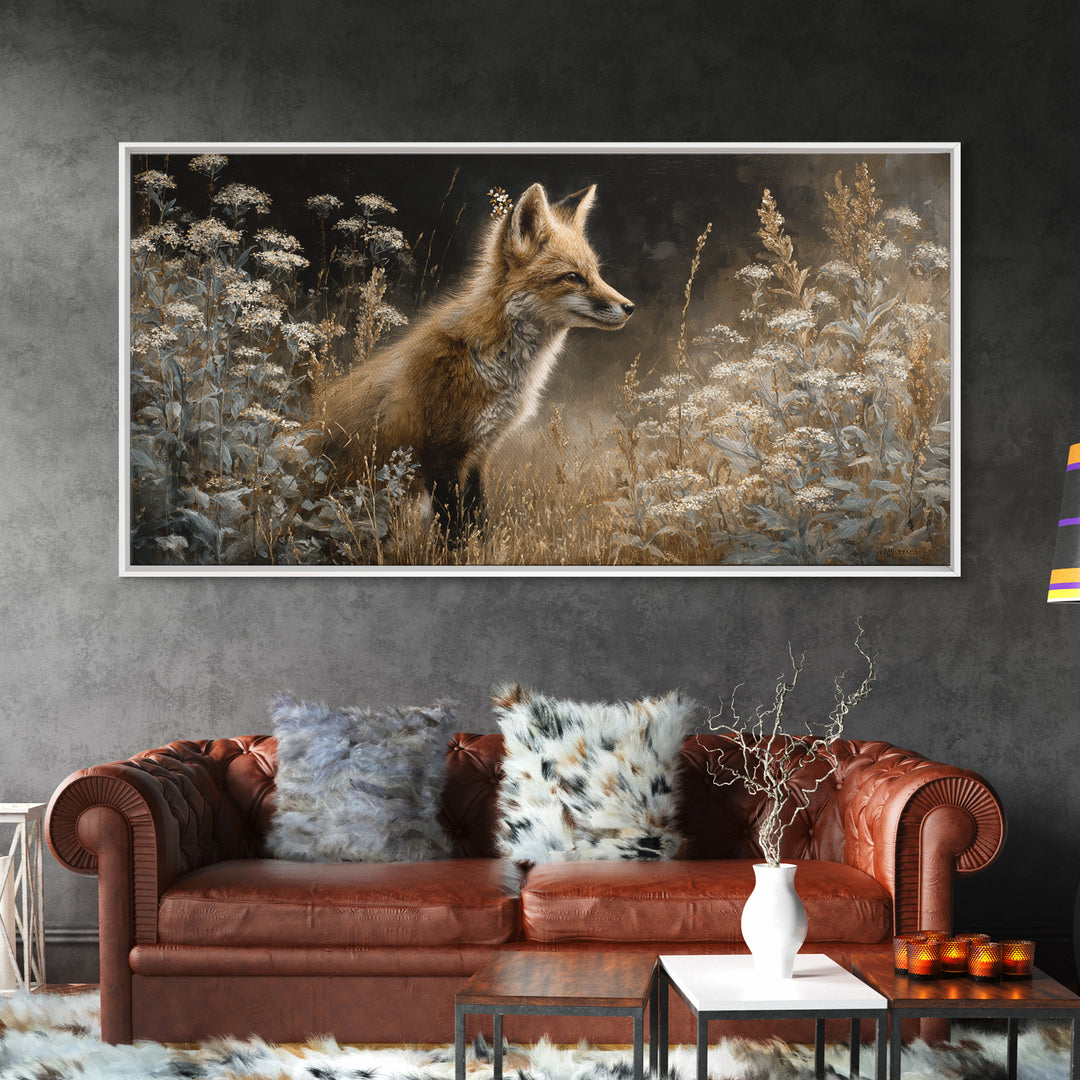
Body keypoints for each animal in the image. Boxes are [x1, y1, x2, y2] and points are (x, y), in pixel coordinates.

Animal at [309, 181, 634, 541]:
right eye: (573, 277)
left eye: (596, 274)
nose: (629, 307)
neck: (490, 363)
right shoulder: (441, 453)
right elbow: (453, 531)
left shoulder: (480, 453)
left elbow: (478, 521)